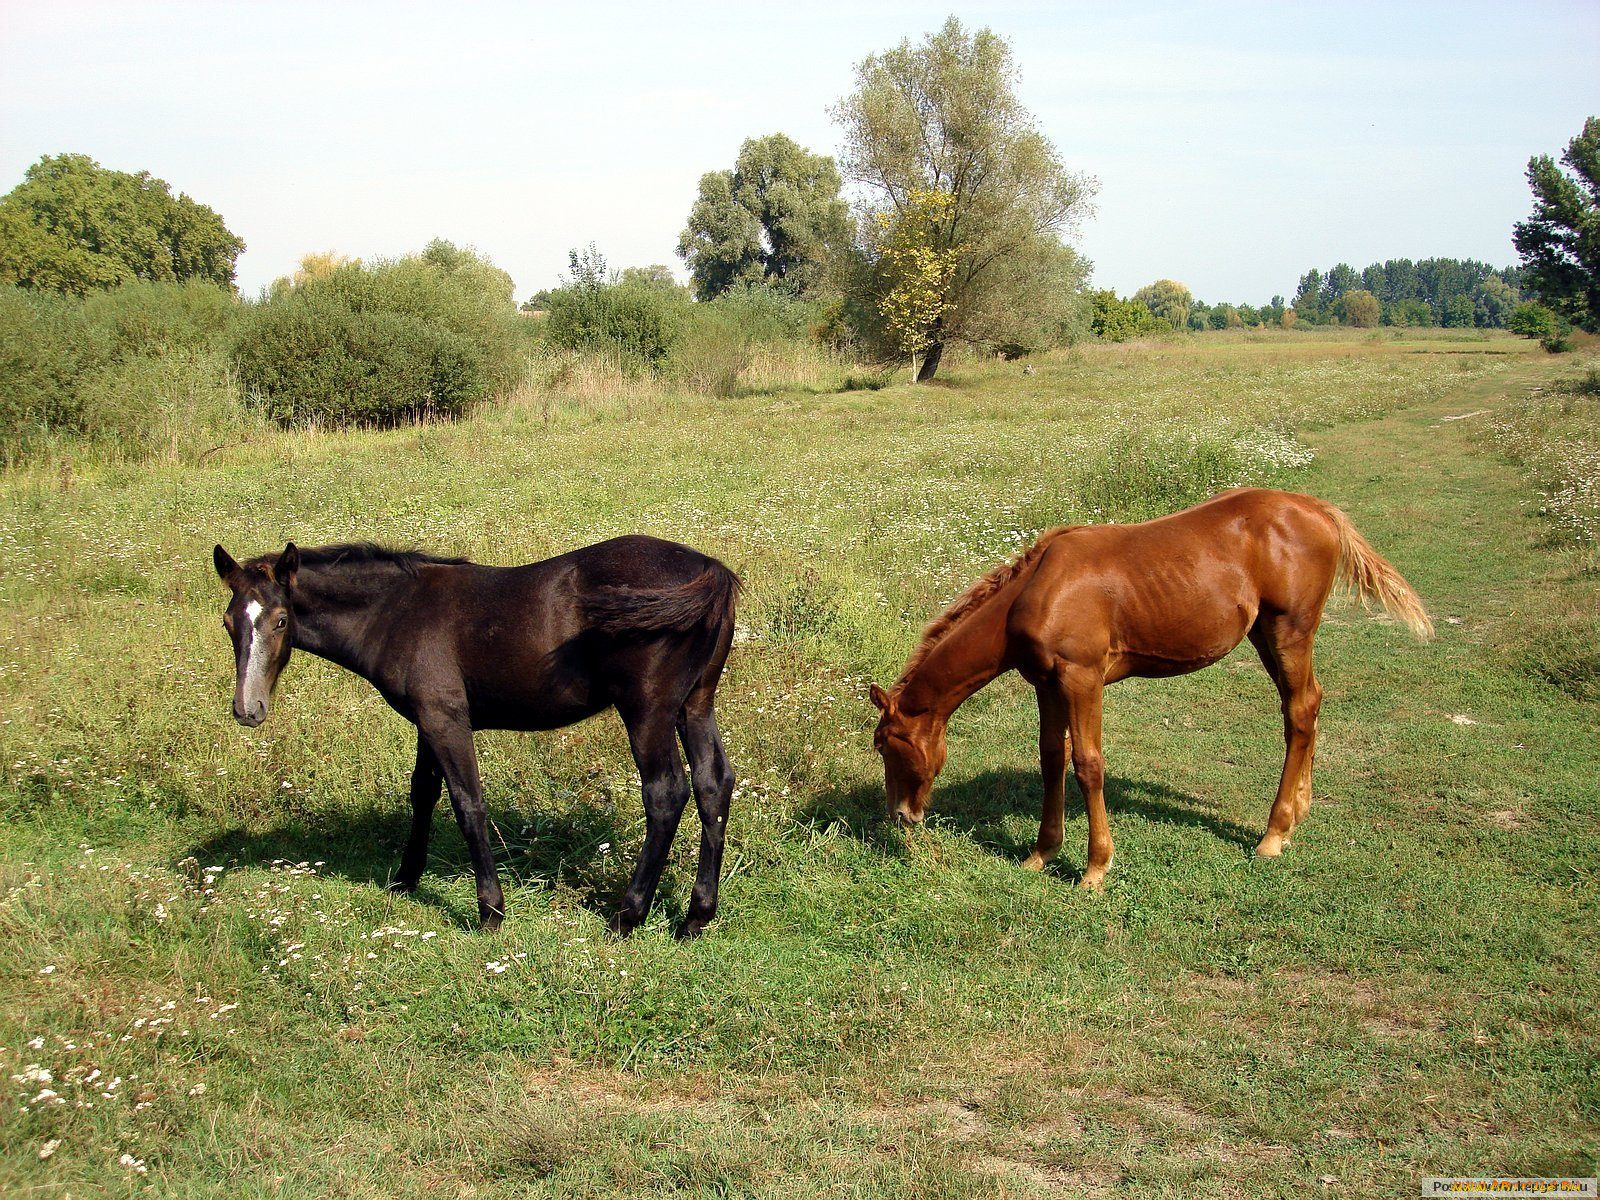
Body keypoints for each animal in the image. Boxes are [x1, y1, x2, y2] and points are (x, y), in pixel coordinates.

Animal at [211, 537, 736, 940]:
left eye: (281, 620)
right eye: (228, 622)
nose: (247, 710)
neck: (397, 611)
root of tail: (709, 569)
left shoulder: (447, 719)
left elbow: (467, 804)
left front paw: (490, 911)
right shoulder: (427, 719)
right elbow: (423, 792)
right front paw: (405, 879)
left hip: (647, 712)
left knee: (666, 793)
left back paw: (628, 915)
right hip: (695, 704)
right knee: (714, 785)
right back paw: (695, 918)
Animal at [876, 489, 1440, 896]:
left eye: (885, 746)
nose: (901, 817)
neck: (1036, 590)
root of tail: (1317, 509)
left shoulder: (1082, 679)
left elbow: (1088, 764)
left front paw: (1095, 869)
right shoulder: (1047, 684)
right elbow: (1051, 760)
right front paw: (1041, 853)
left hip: (1290, 630)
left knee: (1300, 710)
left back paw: (1273, 835)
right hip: (1266, 634)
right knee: (1306, 705)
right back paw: (1298, 813)